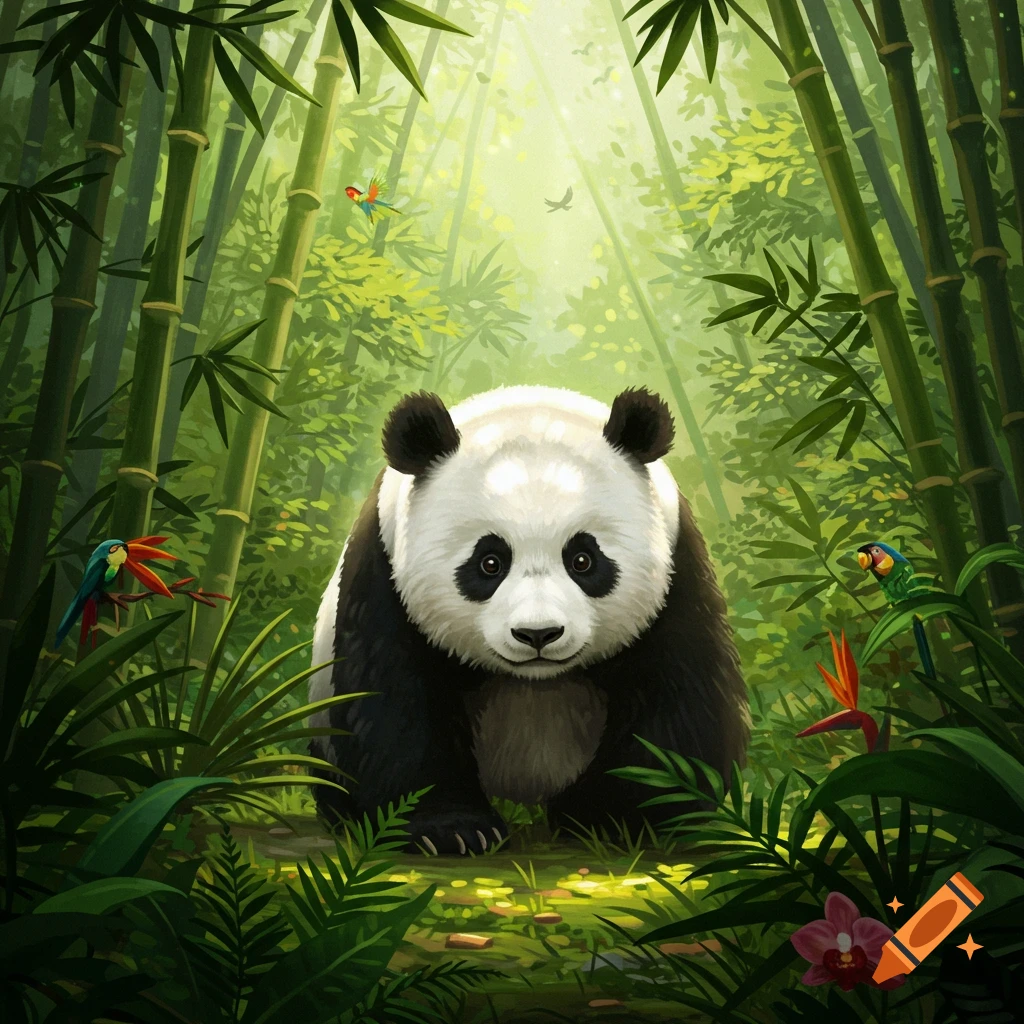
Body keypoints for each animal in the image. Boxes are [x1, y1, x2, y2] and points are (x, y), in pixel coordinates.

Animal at [308, 385, 748, 855]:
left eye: (583, 559)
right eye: (489, 563)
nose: (538, 634)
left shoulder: (677, 573)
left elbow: (678, 701)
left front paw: (608, 819)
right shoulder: (384, 575)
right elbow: (394, 702)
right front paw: (451, 829)